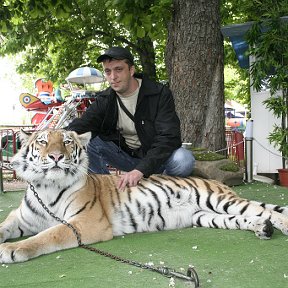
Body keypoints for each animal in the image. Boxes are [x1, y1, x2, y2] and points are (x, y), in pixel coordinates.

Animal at [0, 130, 288, 264]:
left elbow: (48, 235)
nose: (56, 156)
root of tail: (217, 181)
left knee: (265, 210)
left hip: (219, 200)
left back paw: (277, 225)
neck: (47, 186)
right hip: (207, 216)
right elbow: (5, 225)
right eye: (42, 141)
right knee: (246, 218)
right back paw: (263, 228)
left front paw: (11, 250)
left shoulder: (84, 223)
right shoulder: (20, 218)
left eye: (68, 142)